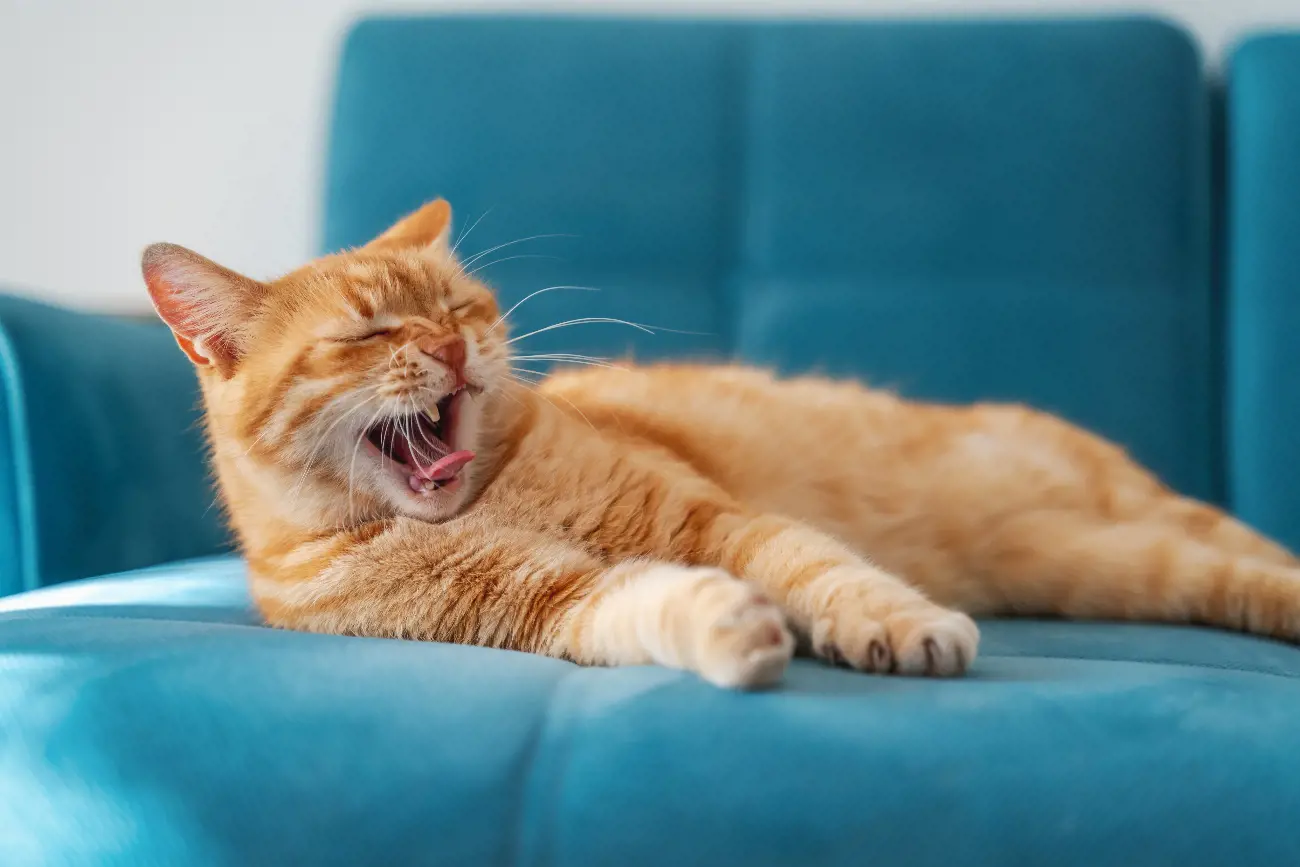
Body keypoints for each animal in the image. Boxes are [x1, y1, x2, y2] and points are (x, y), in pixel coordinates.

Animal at [139, 200, 1300, 686]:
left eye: (459, 307)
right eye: (370, 332)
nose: (451, 346)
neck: (488, 499)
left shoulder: (710, 517)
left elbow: (821, 566)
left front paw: (897, 620)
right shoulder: (540, 604)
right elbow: (640, 604)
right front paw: (725, 628)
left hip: (1130, 525)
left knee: (1260, 561)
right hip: (1112, 564)